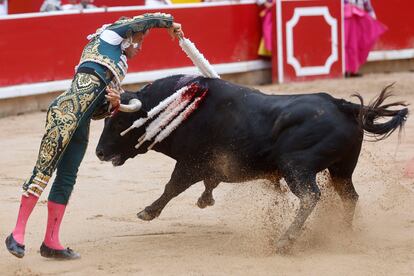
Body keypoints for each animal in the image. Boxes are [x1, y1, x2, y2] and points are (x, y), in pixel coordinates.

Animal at [94, 74, 408, 253]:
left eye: (119, 122)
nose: (98, 153)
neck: (181, 108)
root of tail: (342, 105)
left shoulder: (191, 162)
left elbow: (172, 186)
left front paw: (148, 212)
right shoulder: (206, 168)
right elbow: (202, 185)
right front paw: (205, 200)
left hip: (297, 167)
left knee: (310, 196)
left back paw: (285, 241)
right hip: (342, 169)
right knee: (350, 196)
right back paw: (342, 233)